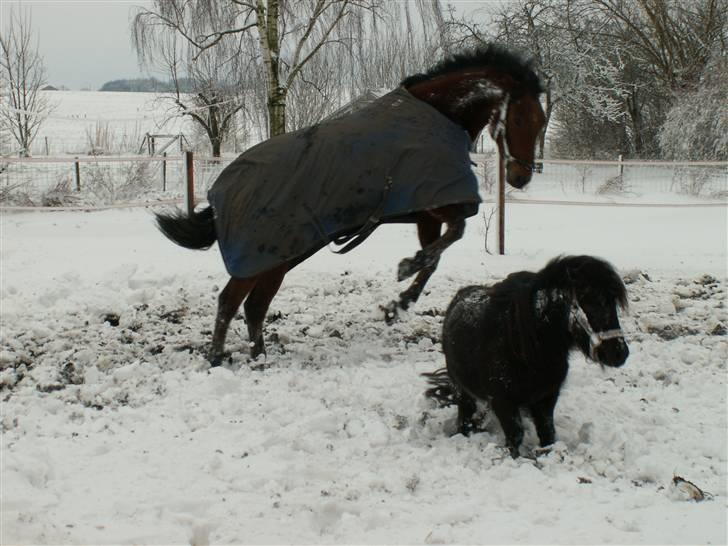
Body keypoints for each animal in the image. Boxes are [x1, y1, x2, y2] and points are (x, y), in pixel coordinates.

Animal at [156, 44, 544, 364]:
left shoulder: (426, 213)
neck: (440, 115)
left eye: (542, 121)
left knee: (254, 306)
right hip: (262, 259)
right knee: (230, 302)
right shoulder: (438, 203)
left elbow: (434, 258)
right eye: (520, 117)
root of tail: (220, 194)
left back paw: (259, 358)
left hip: (279, 259)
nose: (520, 176)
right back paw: (218, 359)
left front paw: (398, 306)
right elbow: (451, 237)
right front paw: (404, 275)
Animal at [424, 255, 628, 454]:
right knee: (465, 414)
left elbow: (547, 433)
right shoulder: (503, 402)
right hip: (461, 388)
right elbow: (515, 436)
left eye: (613, 303)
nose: (620, 353)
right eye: (590, 300)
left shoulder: (546, 398)